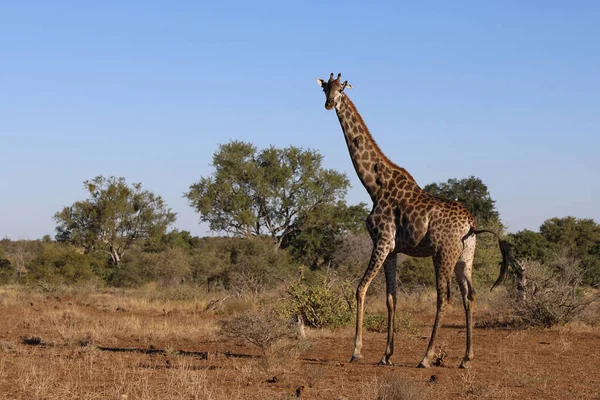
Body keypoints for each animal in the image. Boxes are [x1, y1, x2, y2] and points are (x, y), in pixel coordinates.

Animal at [314, 72, 510, 368]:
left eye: (341, 90)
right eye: (325, 88)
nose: (328, 104)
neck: (374, 186)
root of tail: (471, 224)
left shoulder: (382, 241)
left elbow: (360, 289)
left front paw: (357, 351)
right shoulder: (393, 249)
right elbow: (391, 298)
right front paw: (386, 355)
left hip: (442, 253)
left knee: (444, 298)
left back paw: (426, 357)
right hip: (465, 256)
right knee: (469, 295)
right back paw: (466, 357)